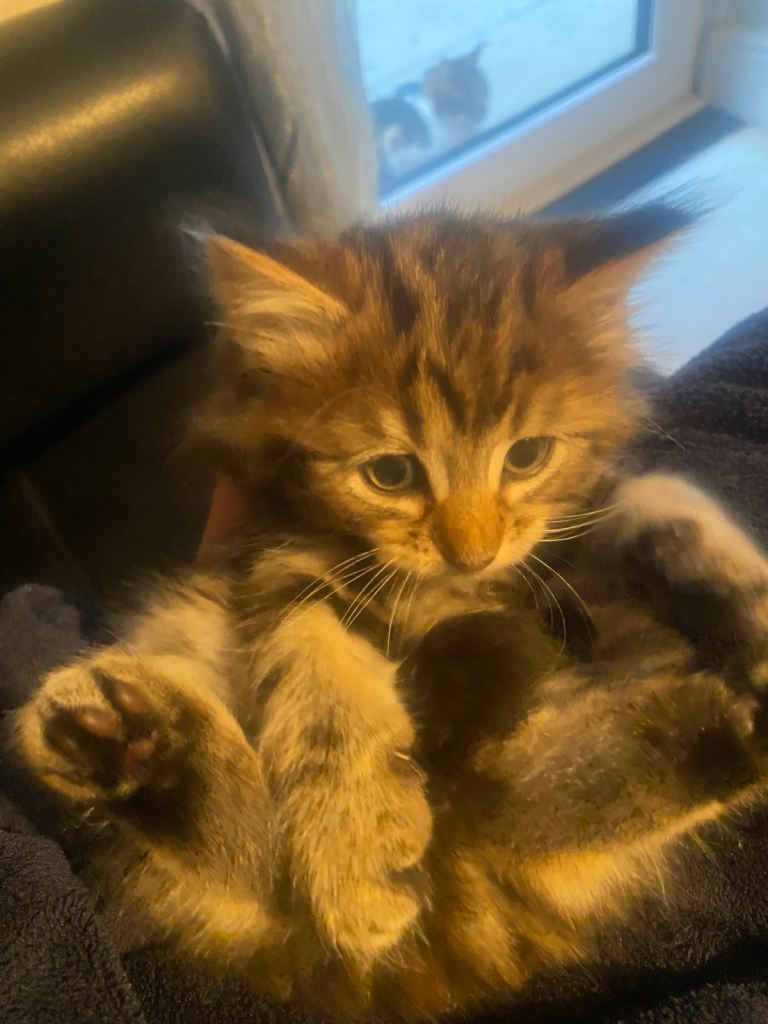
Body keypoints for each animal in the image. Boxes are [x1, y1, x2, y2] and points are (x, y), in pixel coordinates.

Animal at [12, 206, 768, 1020]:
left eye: (527, 456)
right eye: (390, 473)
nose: (472, 553)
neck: (447, 595)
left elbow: (652, 495)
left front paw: (728, 587)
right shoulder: (275, 564)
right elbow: (318, 669)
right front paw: (357, 849)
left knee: (504, 804)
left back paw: (722, 722)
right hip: (189, 624)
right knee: (279, 870)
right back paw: (128, 747)